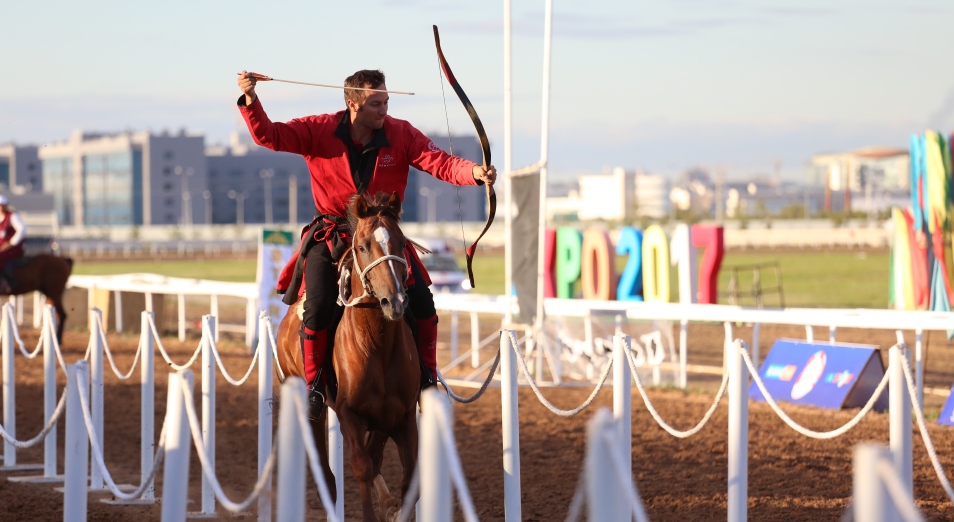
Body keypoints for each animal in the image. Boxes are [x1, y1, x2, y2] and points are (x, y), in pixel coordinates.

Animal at [274, 192, 418, 520]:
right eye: (363, 245)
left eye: (402, 242)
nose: (395, 300)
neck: (376, 346)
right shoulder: (349, 415)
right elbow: (362, 468)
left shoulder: (401, 416)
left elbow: (407, 478)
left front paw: (392, 506)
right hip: (309, 408)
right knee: (327, 477)